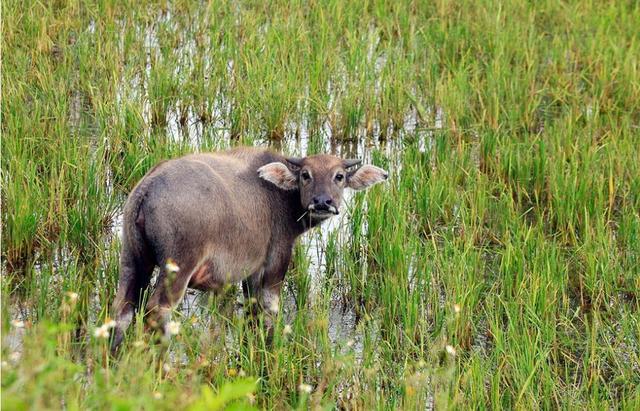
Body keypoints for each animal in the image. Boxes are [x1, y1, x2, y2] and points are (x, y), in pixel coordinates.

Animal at [110, 146, 388, 352]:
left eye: (338, 176)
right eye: (306, 175)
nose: (322, 202)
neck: (281, 194)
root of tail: (148, 186)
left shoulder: (252, 270)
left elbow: (252, 309)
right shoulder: (277, 258)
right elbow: (270, 307)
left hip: (132, 259)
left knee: (122, 310)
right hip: (177, 269)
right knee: (156, 312)